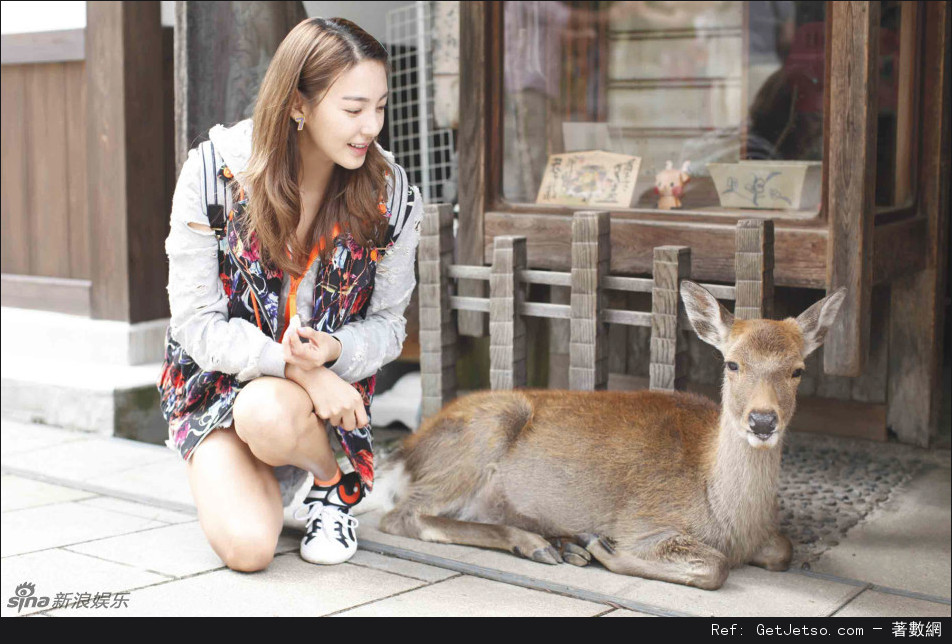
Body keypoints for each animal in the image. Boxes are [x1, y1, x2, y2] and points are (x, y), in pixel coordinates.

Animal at [376, 282, 844, 588]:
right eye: (732, 363)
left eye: (797, 370)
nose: (763, 421)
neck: (732, 522)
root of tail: (406, 454)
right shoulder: (646, 521)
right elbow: (716, 567)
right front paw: (606, 547)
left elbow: (783, 550)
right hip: (479, 437)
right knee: (400, 516)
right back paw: (543, 543)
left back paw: (557, 543)